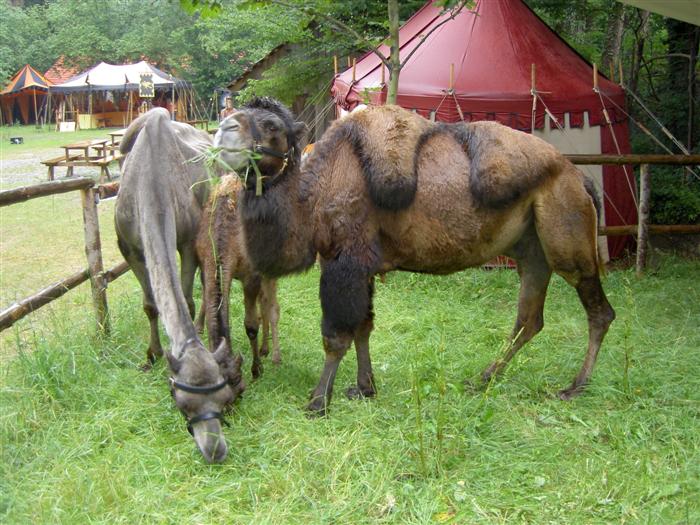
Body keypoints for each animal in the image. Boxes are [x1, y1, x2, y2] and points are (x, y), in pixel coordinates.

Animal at [115, 108, 244, 462]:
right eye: (182, 402)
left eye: (224, 399)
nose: (215, 448)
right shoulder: (127, 246)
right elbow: (150, 304)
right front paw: (152, 355)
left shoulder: (187, 241)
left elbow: (185, 299)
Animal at [195, 174, 281, 379]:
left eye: (235, 380)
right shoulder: (205, 265)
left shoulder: (251, 276)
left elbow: (251, 325)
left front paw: (256, 369)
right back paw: (265, 349)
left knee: (271, 305)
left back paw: (274, 355)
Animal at [213, 98, 615, 416]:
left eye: (271, 125)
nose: (223, 129)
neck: (313, 196)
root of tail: (580, 178)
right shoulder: (364, 265)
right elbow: (364, 327)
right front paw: (364, 388)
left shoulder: (345, 261)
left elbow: (337, 335)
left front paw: (317, 401)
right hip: (532, 250)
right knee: (529, 320)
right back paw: (483, 378)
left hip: (566, 237)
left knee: (598, 310)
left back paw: (574, 386)